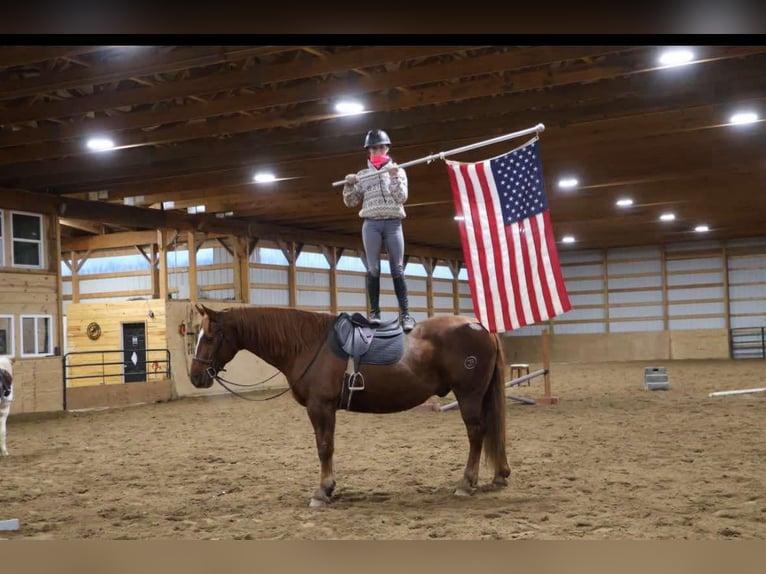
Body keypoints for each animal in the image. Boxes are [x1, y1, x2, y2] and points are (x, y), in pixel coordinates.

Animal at [189, 304, 511, 507]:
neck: (308, 343)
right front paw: (328, 488)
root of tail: (480, 326)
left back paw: (466, 483)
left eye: (211, 336)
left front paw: (322, 491)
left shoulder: (320, 407)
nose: (195, 376)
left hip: (468, 395)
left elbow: (324, 447)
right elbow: (327, 447)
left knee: (476, 434)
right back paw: (498, 476)